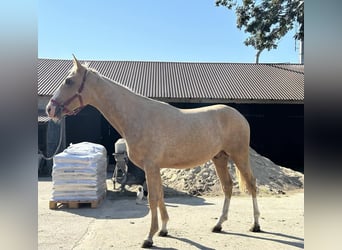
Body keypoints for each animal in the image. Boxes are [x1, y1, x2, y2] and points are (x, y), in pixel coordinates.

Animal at [44, 56, 260, 248]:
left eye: (69, 81)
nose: (49, 109)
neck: (137, 115)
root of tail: (240, 116)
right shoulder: (155, 168)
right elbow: (160, 196)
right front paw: (163, 230)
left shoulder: (151, 166)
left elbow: (153, 198)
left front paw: (149, 237)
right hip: (219, 158)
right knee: (227, 187)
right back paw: (218, 225)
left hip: (239, 156)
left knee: (251, 185)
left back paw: (255, 225)